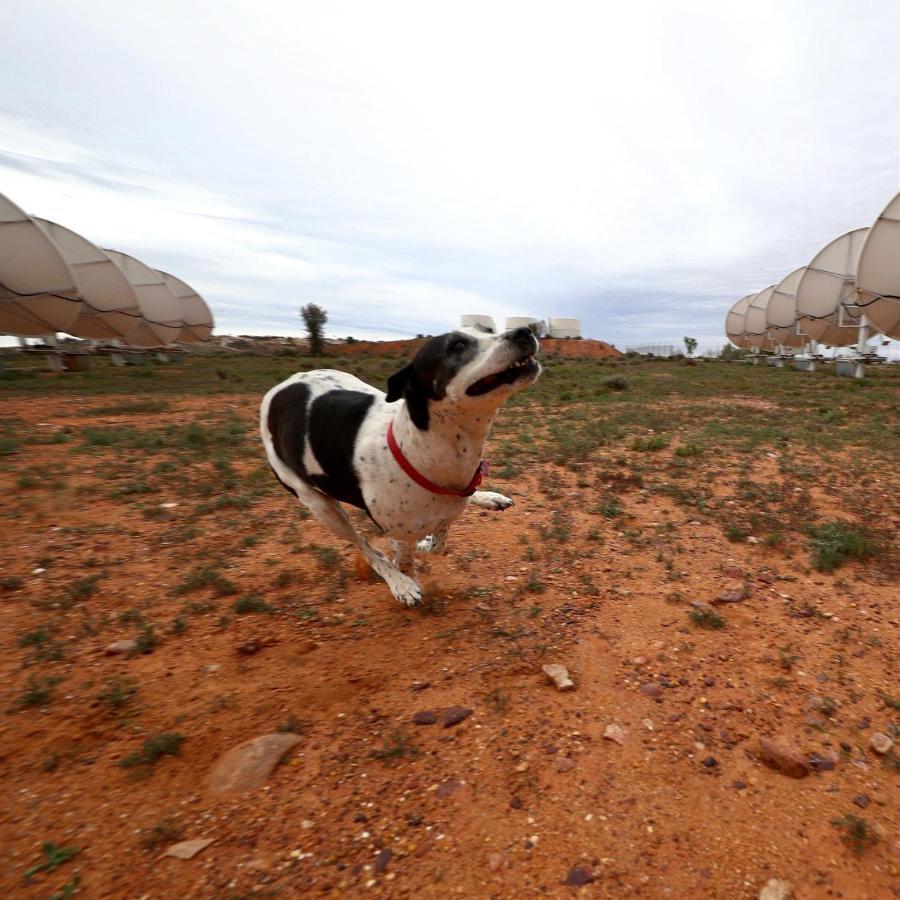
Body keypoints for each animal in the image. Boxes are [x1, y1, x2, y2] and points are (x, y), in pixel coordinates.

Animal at [260, 324, 540, 604]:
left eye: (489, 329)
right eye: (457, 346)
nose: (525, 331)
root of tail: (279, 388)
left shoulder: (447, 512)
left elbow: (438, 545)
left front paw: (428, 541)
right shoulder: (399, 535)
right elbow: (403, 561)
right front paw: (404, 580)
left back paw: (487, 497)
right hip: (320, 506)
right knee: (365, 547)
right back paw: (396, 581)